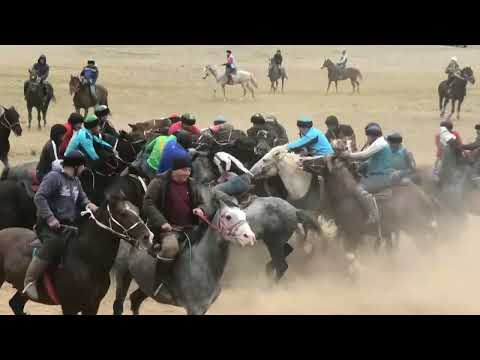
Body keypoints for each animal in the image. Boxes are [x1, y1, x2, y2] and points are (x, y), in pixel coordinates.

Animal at [0, 193, 152, 314]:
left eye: (137, 210)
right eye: (122, 213)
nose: (148, 236)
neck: (86, 260)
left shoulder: (92, 305)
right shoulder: (69, 306)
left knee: (15, 305)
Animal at [112, 191, 256, 316]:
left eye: (244, 216)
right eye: (228, 216)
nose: (249, 237)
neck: (203, 263)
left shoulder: (203, 308)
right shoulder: (194, 308)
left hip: (145, 284)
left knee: (135, 300)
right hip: (123, 276)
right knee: (119, 305)